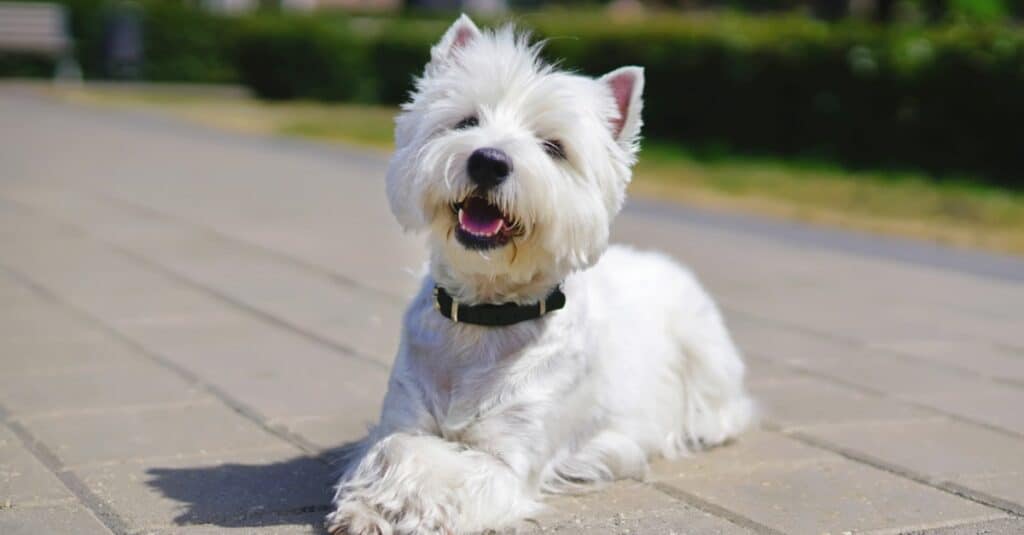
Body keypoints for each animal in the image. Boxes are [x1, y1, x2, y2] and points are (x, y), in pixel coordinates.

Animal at [327, 14, 753, 528]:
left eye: (554, 147)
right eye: (467, 121)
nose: (488, 161)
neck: (484, 315)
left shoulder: (510, 459)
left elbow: (456, 473)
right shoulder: (403, 415)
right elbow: (397, 449)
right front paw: (368, 507)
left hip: (704, 354)